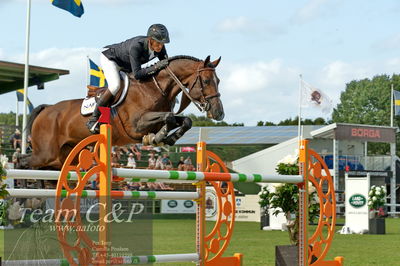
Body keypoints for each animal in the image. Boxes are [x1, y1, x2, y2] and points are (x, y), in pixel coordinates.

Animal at [26, 55, 223, 169]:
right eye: (206, 81)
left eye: (218, 80)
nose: (219, 113)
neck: (155, 88)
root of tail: (47, 108)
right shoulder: (136, 126)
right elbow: (169, 118)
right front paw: (157, 137)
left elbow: (183, 120)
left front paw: (165, 138)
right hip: (45, 153)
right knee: (25, 162)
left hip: (63, 156)